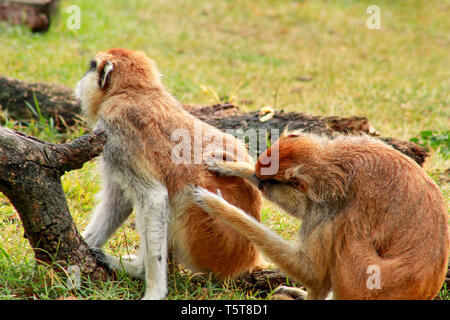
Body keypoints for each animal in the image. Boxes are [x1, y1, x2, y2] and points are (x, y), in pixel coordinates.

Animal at [73, 48, 264, 300]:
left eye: (92, 66)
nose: (80, 81)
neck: (135, 91)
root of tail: (248, 258)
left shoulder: (115, 135)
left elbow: (154, 199)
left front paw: (153, 289)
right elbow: (119, 202)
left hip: (208, 241)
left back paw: (137, 269)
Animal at [194, 130, 450, 300]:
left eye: (267, 185)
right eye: (261, 179)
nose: (261, 186)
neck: (333, 165)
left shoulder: (330, 210)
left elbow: (312, 272)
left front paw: (218, 205)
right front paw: (231, 166)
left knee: (347, 240)